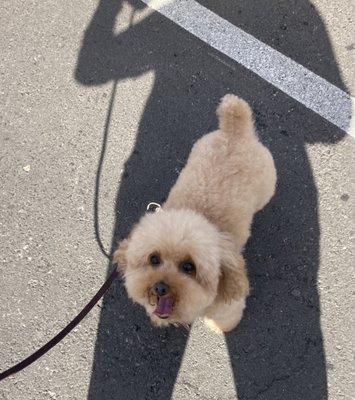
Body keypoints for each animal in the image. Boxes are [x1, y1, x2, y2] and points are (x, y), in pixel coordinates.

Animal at [114, 94, 278, 332]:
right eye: (154, 259)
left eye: (188, 267)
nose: (160, 287)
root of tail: (235, 132)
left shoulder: (228, 305)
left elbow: (226, 318)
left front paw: (221, 328)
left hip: (267, 186)